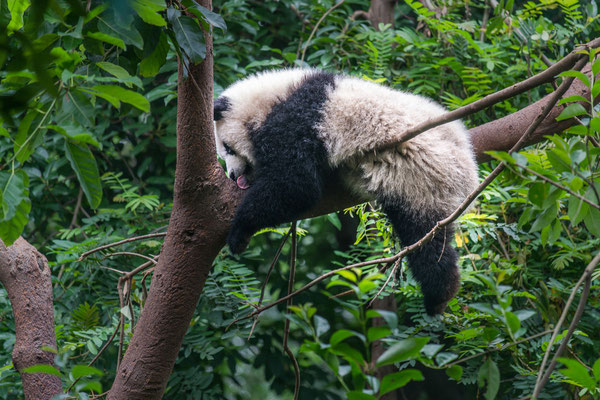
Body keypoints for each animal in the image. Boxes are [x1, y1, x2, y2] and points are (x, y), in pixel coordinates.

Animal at [213, 69, 480, 314]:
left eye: (228, 148)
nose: (233, 176)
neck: (271, 98)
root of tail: (469, 166)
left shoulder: (297, 120)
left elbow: (296, 186)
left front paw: (239, 234)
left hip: (420, 174)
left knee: (423, 238)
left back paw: (438, 294)